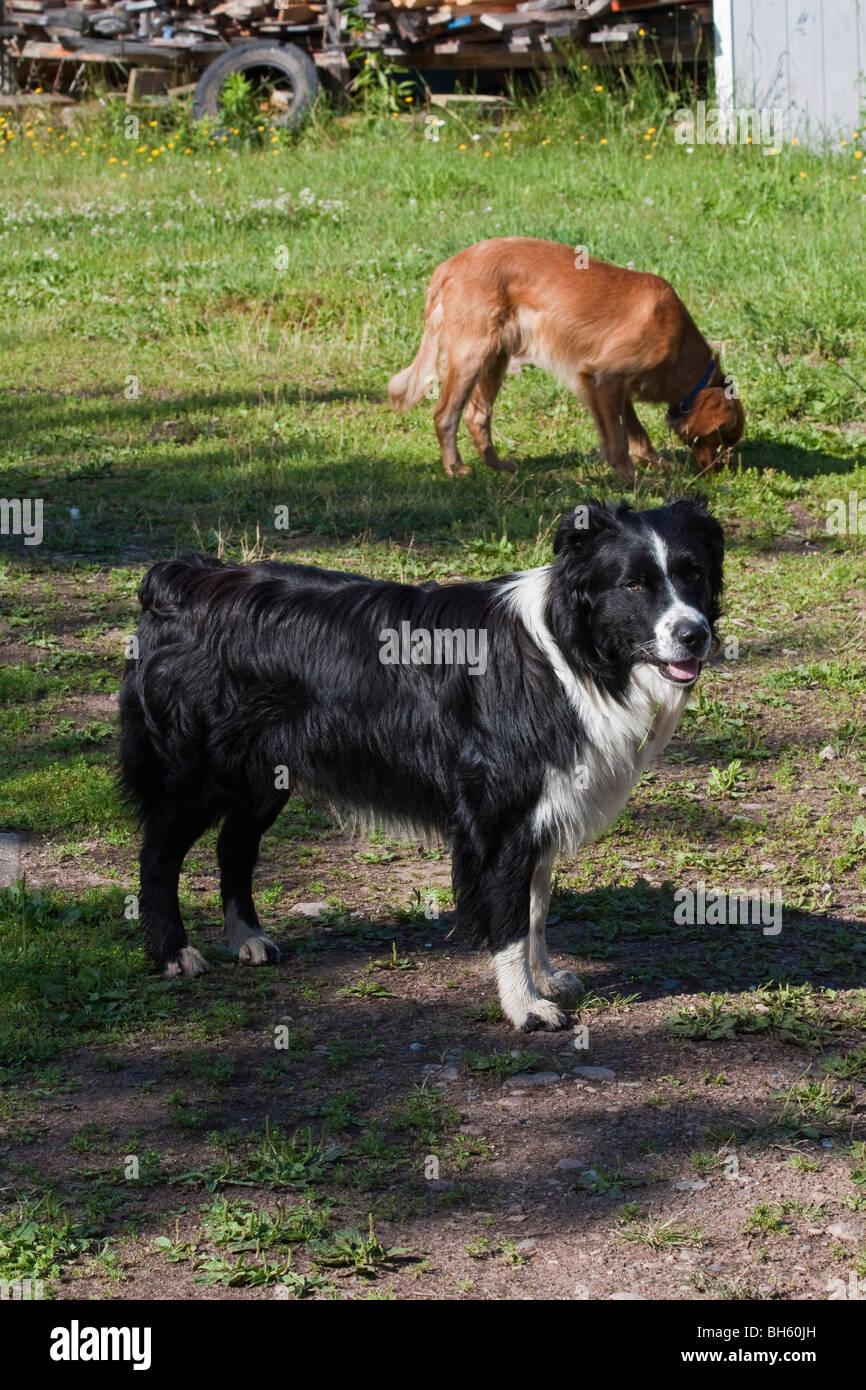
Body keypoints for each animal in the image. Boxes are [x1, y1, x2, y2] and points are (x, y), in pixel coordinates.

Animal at [120, 500, 722, 1034]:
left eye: (693, 573)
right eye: (635, 585)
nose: (695, 635)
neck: (571, 650)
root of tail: (182, 579)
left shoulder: (539, 810)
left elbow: (535, 909)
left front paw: (545, 979)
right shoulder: (500, 818)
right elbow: (510, 921)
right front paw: (525, 1008)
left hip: (265, 772)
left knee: (235, 845)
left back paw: (246, 936)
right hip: (196, 772)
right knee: (159, 854)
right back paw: (174, 952)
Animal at [391, 236, 745, 480]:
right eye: (725, 438)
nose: (724, 473)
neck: (680, 344)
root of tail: (448, 266)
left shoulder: (618, 386)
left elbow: (636, 433)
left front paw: (656, 464)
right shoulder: (602, 378)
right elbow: (617, 440)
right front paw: (631, 480)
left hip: (495, 356)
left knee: (477, 417)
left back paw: (497, 465)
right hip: (471, 353)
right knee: (445, 414)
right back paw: (455, 468)